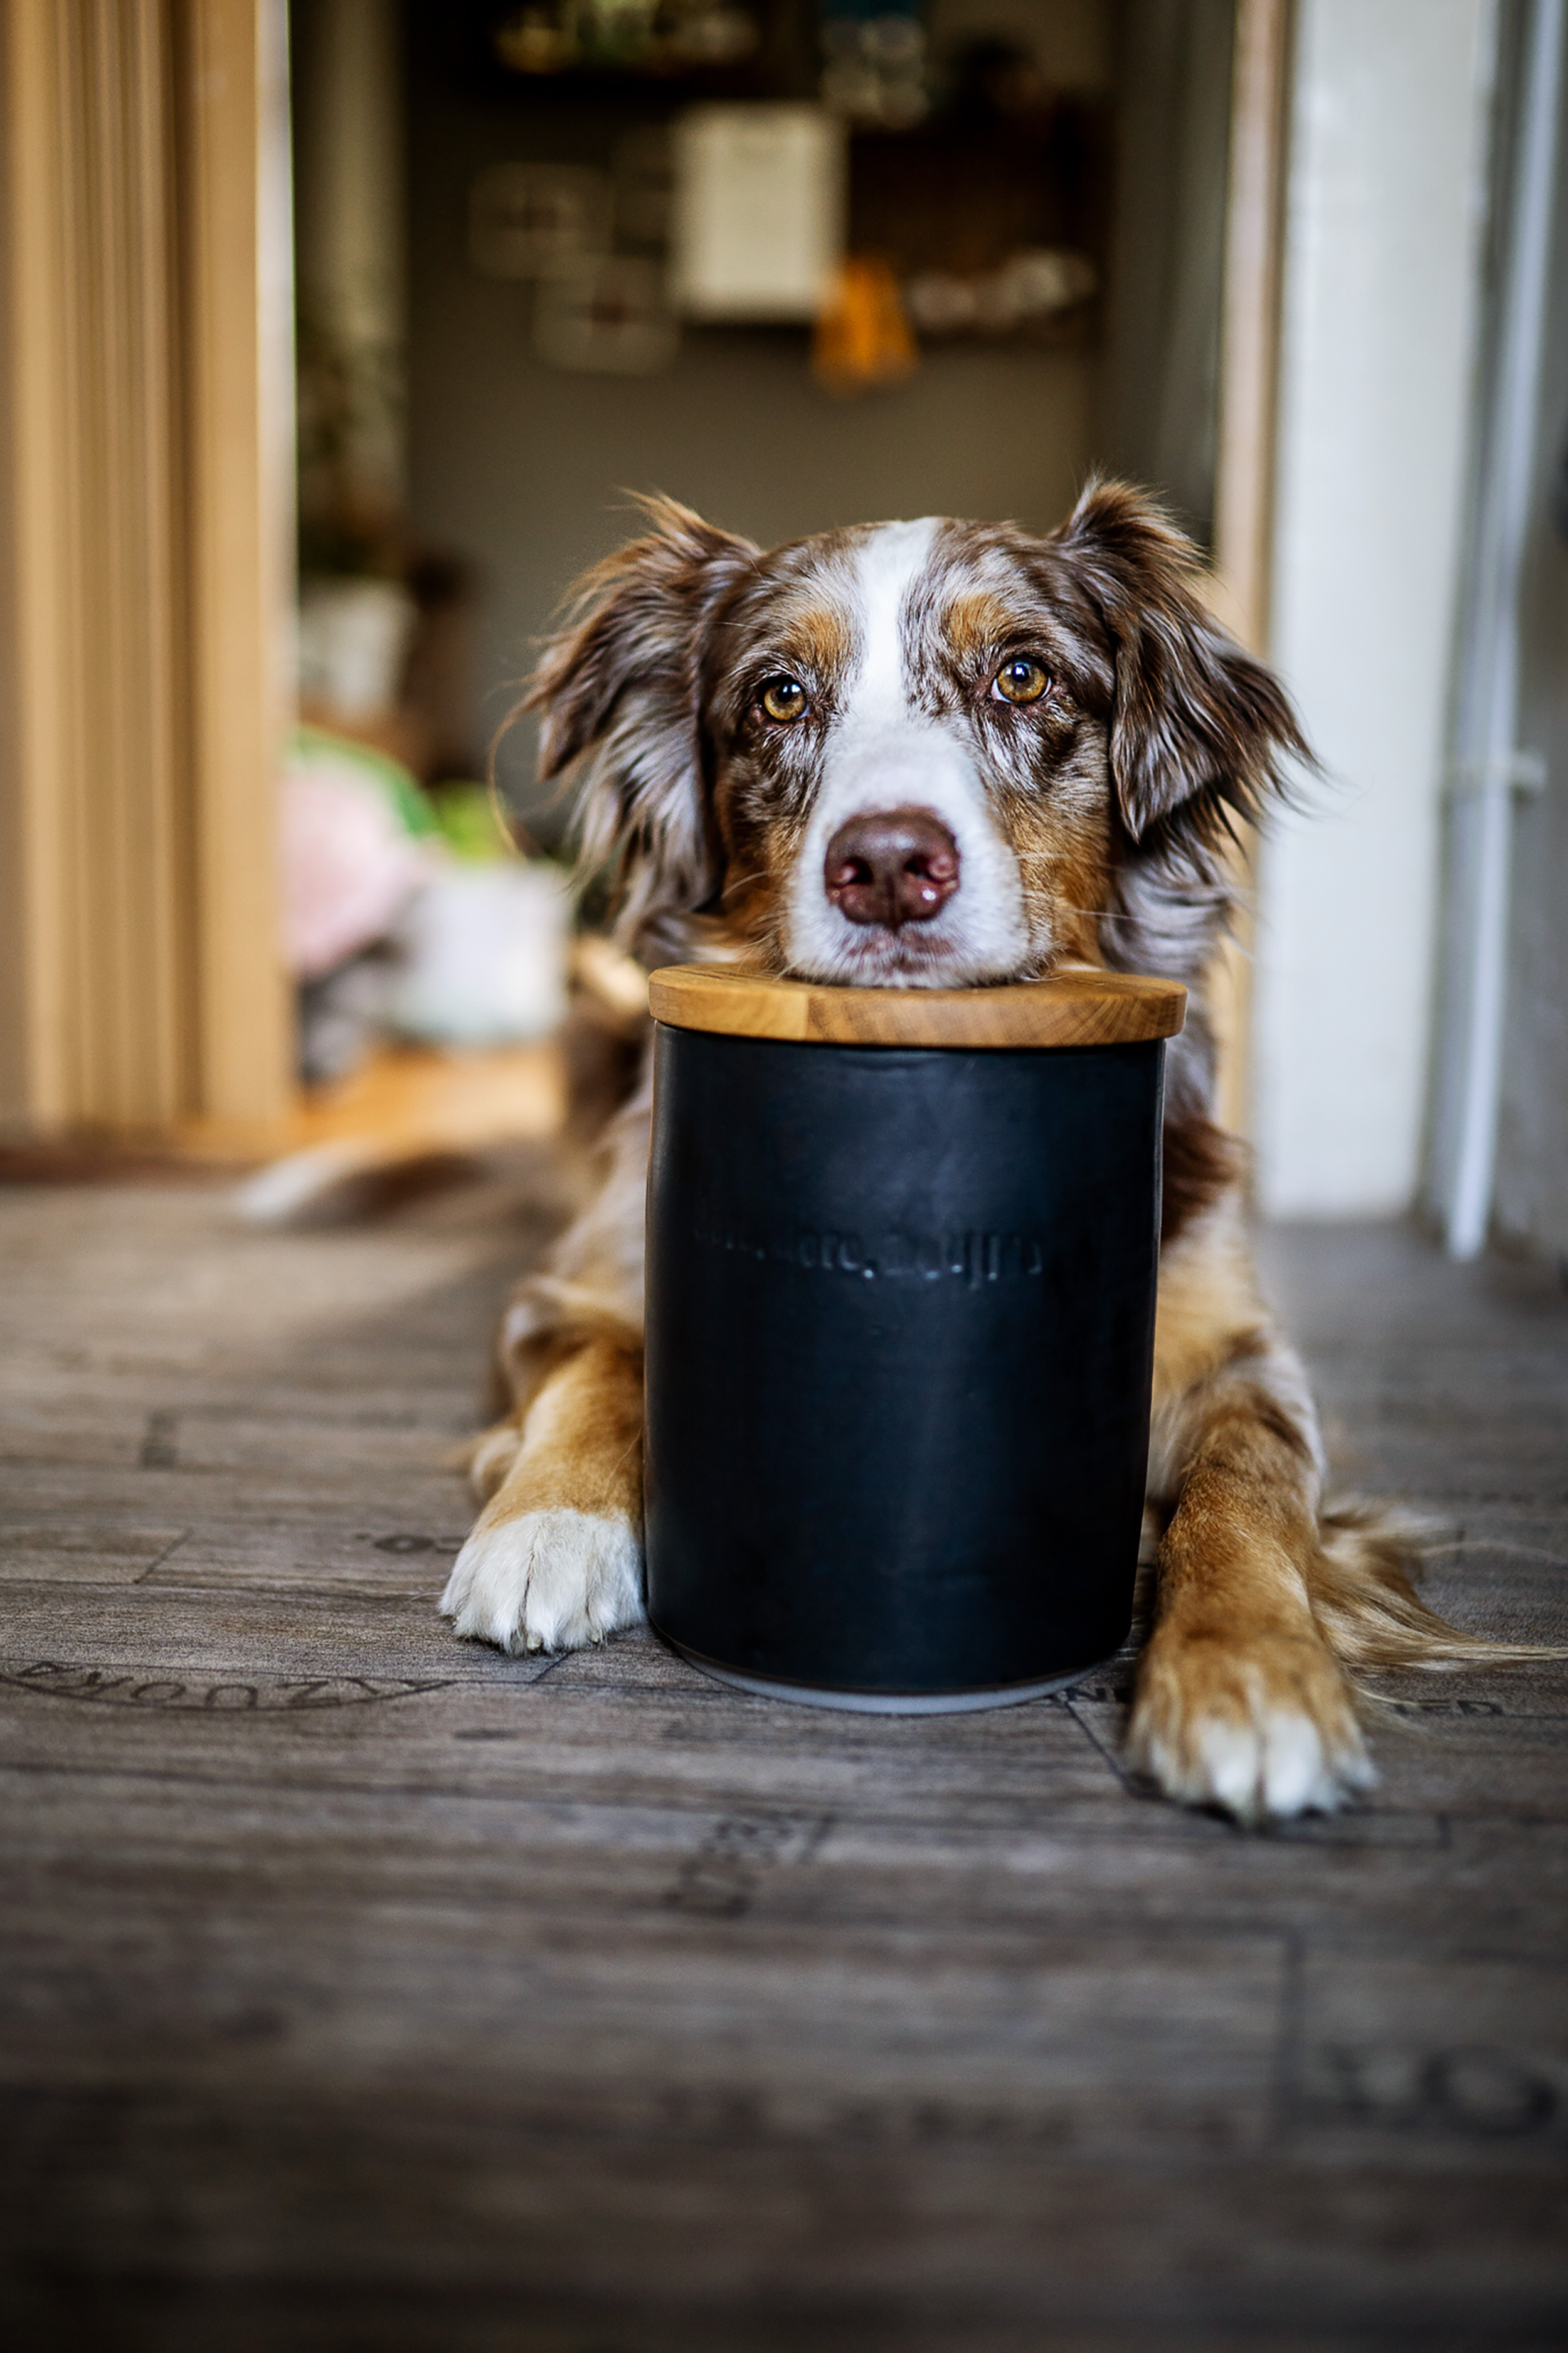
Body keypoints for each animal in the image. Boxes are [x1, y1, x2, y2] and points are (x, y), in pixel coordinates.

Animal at [435, 487, 1488, 1825]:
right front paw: (546, 1525)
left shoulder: (1244, 1351)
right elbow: (602, 1363)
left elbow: (1243, 1488)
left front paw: (1249, 1673)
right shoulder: (575, 1280)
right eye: (779, 696)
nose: (887, 867)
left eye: (1023, 675)